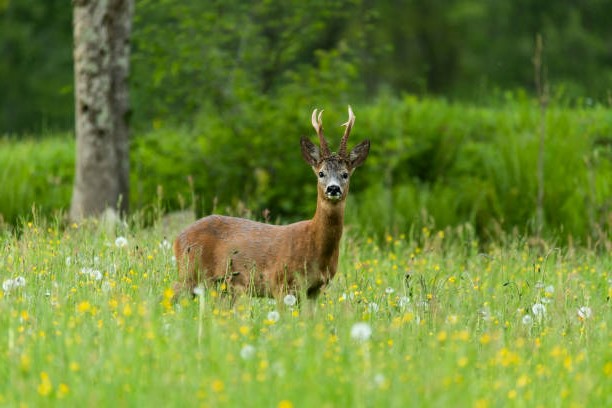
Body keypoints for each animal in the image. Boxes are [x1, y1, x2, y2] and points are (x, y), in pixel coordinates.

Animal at [175, 106, 370, 300]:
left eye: (345, 174)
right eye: (321, 173)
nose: (333, 188)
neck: (316, 246)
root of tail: (177, 238)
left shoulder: (315, 290)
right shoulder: (280, 282)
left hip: (220, 286)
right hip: (189, 273)